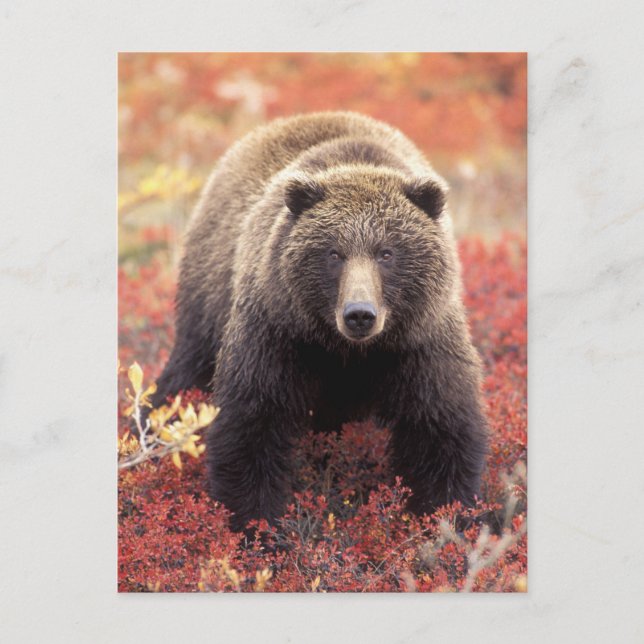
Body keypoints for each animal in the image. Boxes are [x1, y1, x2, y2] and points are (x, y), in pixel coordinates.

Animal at [152, 111, 488, 533]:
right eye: (334, 253)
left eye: (387, 252)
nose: (359, 314)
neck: (347, 351)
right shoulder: (278, 332)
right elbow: (250, 423)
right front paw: (258, 526)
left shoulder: (420, 341)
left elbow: (441, 429)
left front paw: (445, 520)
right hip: (209, 296)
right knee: (186, 372)